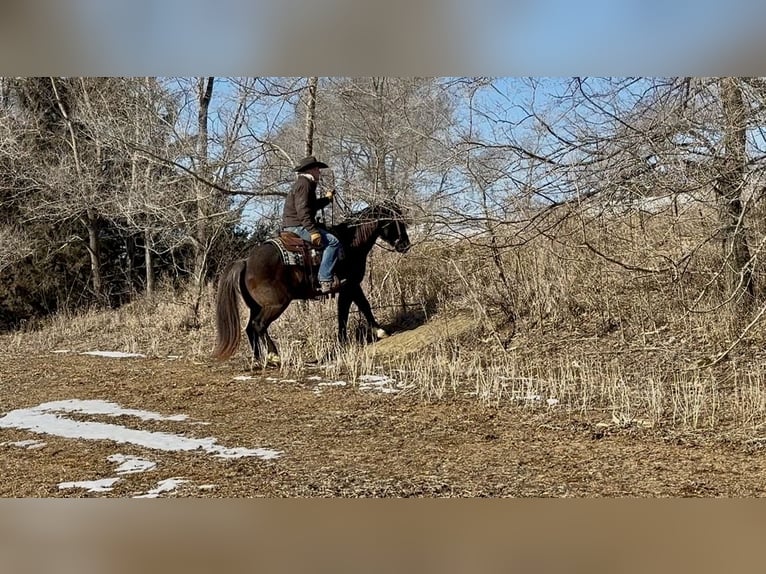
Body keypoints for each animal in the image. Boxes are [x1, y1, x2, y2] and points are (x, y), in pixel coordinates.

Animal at [212, 203, 411, 363]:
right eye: (396, 221)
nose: (405, 245)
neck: (350, 243)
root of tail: (246, 261)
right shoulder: (351, 286)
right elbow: (356, 309)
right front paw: (376, 332)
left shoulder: (349, 288)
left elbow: (352, 310)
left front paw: (350, 339)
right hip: (276, 304)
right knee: (259, 325)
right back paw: (273, 355)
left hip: (257, 306)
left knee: (249, 329)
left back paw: (258, 359)